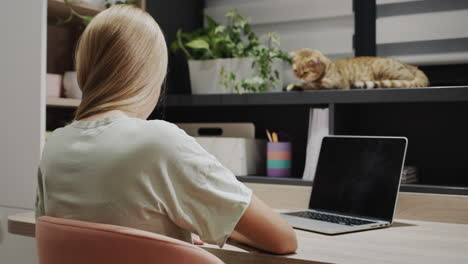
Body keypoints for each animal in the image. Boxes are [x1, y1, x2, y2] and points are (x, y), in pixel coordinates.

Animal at [286, 48, 428, 91]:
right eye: (296, 71)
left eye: (305, 72)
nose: (299, 76)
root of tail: (410, 66)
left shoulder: (334, 83)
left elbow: (310, 85)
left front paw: (294, 85)